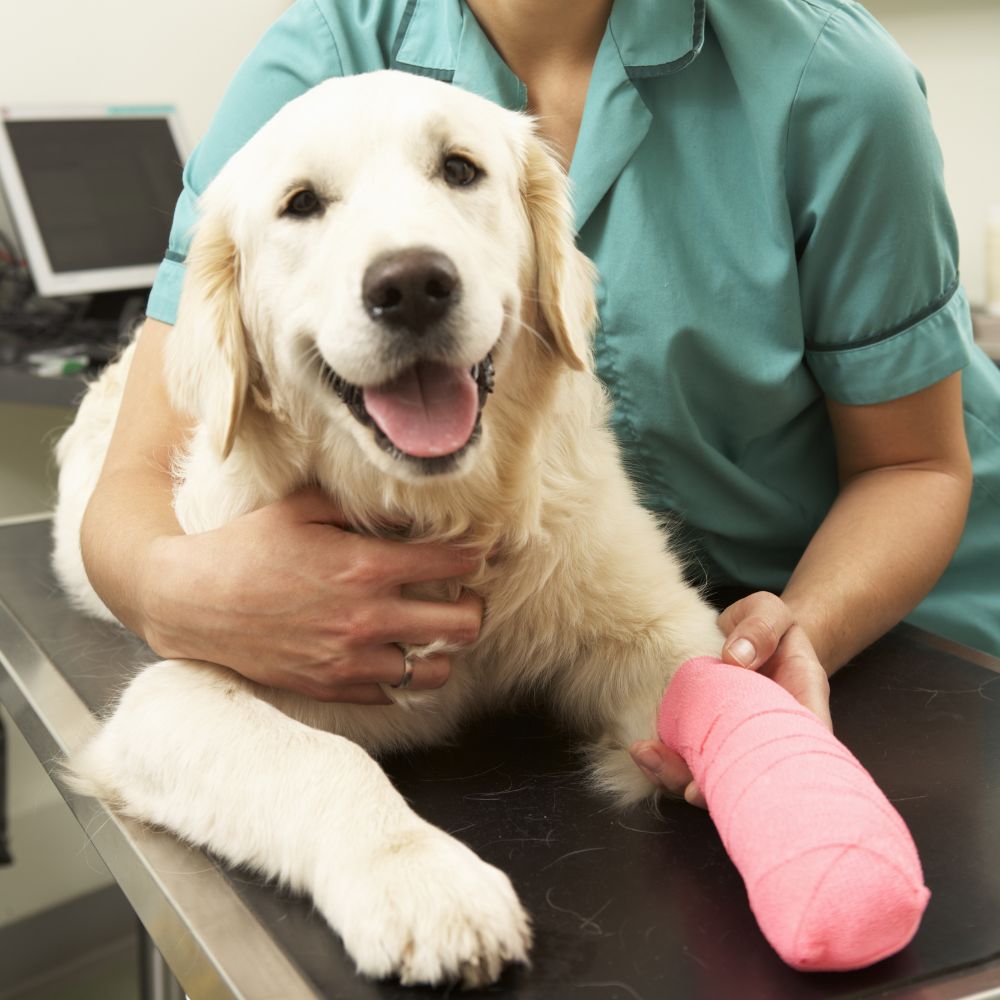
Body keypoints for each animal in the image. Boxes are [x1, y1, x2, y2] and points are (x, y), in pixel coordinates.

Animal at [50, 72, 724, 992]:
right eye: (301, 204)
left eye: (460, 169)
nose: (410, 285)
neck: (439, 519)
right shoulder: (173, 696)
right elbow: (324, 761)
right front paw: (424, 881)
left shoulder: (660, 626)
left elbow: (722, 687)